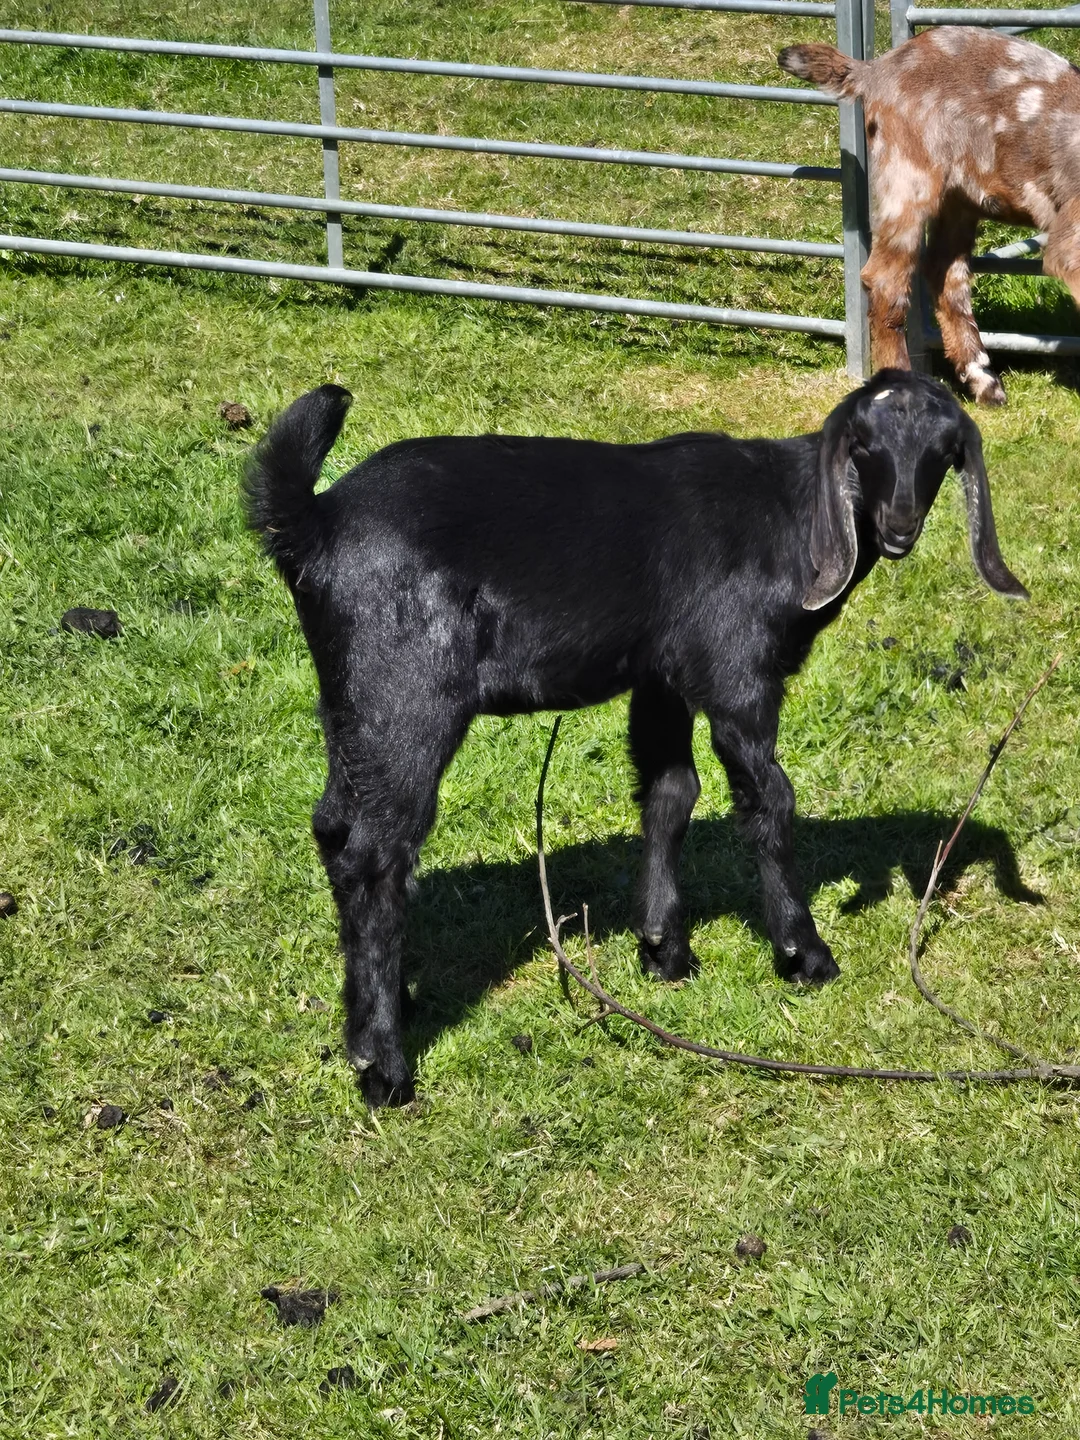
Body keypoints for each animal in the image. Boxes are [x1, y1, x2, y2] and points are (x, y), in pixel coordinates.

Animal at [246, 371, 1026, 1106]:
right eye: (863, 446)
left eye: (944, 452)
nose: (898, 529)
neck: (790, 515)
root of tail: (314, 522)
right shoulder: (736, 671)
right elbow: (768, 800)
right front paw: (804, 953)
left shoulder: (662, 674)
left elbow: (670, 792)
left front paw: (663, 948)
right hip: (406, 688)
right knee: (376, 854)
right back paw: (384, 1066)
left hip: (350, 696)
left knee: (334, 827)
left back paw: (382, 1005)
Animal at [779, 29, 1080, 405]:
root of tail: (874, 69)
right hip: (908, 176)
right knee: (887, 281)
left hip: (960, 198)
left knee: (945, 273)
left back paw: (984, 382)